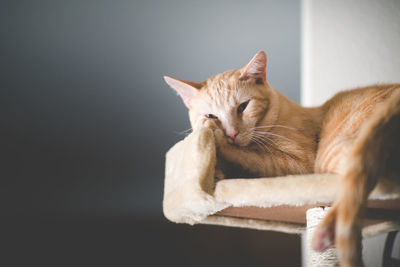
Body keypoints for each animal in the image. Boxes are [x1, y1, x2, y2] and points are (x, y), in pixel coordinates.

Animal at [163, 51, 400, 266]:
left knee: (352, 190)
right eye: (211, 114)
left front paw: (218, 140)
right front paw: (219, 164)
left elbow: (250, 157)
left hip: (334, 156)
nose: (231, 133)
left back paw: (325, 232)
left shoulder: (298, 162)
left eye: (243, 107)